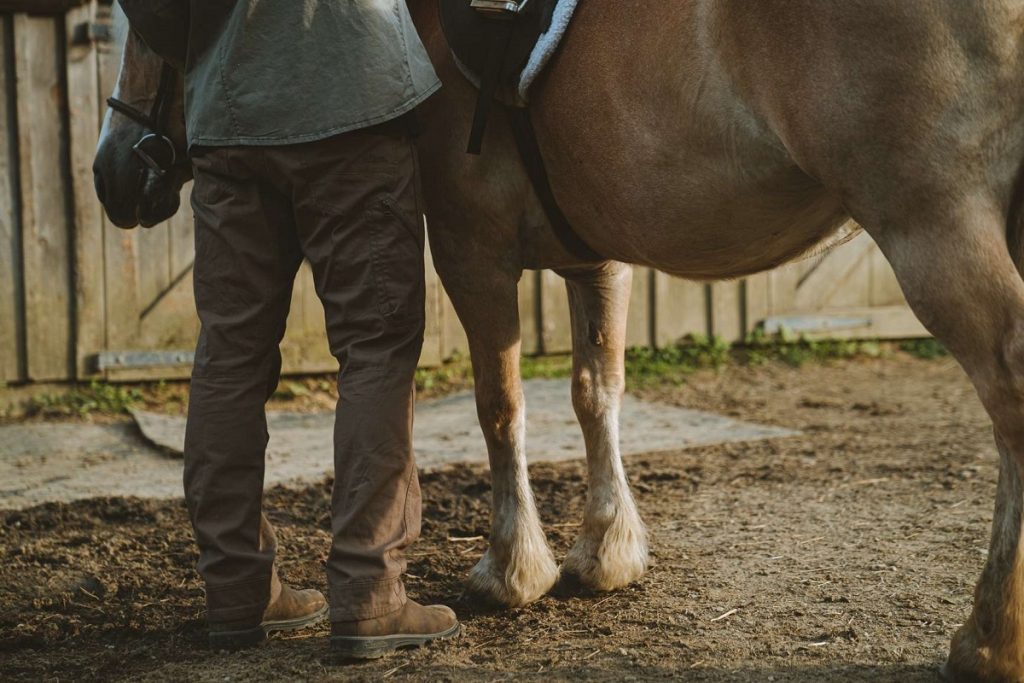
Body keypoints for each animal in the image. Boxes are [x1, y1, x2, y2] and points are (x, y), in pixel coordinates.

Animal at [94, 2, 1024, 679]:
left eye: (147, 26)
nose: (113, 172)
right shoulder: (597, 256)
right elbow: (595, 394)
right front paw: (606, 550)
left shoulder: (470, 251)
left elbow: (501, 406)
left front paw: (513, 567)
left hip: (931, 223)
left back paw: (987, 639)